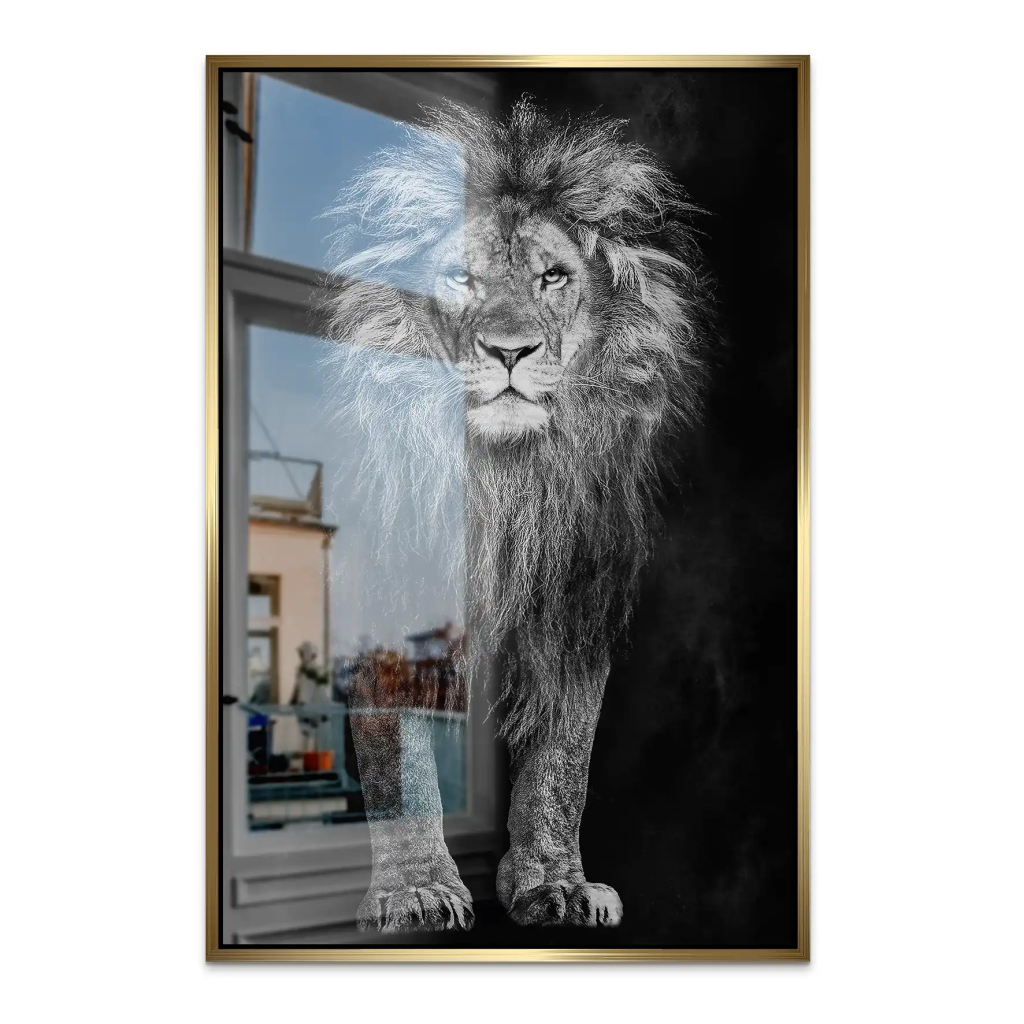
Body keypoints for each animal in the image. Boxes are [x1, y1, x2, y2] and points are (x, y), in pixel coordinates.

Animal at [321, 98, 711, 931]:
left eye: (552, 276)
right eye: (461, 277)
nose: (510, 351)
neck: (504, 475)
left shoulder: (575, 601)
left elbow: (562, 763)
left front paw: (552, 884)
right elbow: (399, 759)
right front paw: (418, 889)